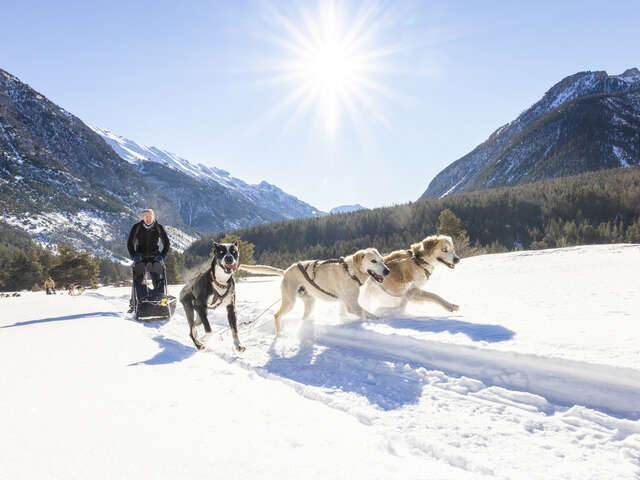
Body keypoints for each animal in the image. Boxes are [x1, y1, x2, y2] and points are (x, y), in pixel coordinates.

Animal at [240, 248, 390, 334]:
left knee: (303, 317)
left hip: (310, 303)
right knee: (276, 315)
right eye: (373, 261)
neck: (350, 271)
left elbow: (343, 314)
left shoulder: (345, 303)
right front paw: (382, 319)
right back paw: (279, 334)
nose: (387, 271)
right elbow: (369, 314)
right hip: (290, 302)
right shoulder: (353, 306)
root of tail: (286, 271)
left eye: (382, 260)